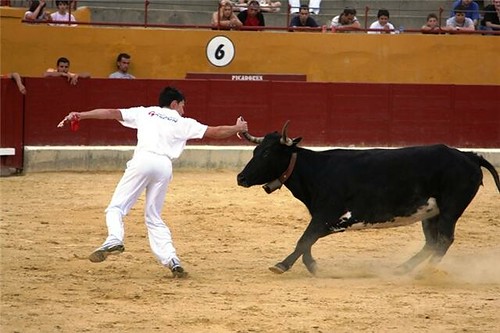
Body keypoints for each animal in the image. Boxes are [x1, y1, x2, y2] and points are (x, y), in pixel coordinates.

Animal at [237, 120, 500, 274]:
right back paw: (402, 269)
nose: (240, 178)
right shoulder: (322, 217)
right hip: (430, 214)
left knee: (444, 240)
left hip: (450, 209)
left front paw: (282, 265)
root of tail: (469, 155)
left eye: (267, 153)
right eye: (255, 150)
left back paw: (426, 273)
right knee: (432, 242)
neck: (316, 170)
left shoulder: (329, 216)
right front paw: (312, 266)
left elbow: (305, 239)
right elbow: (307, 241)